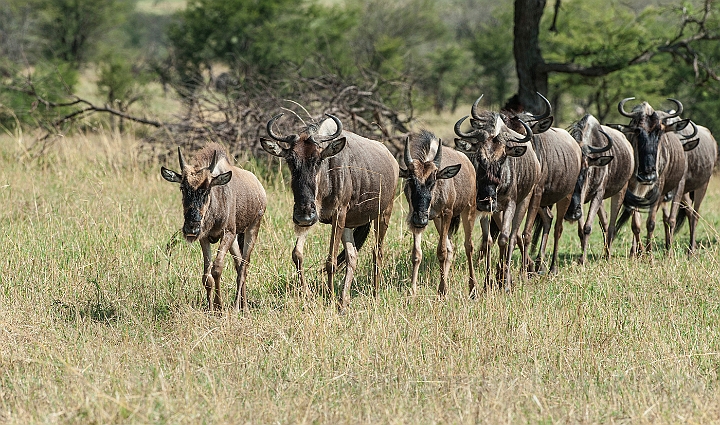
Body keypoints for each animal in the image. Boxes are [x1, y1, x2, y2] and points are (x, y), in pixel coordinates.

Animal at [160, 142, 268, 312]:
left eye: (207, 189)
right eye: (183, 188)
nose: (191, 228)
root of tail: (259, 187)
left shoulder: (228, 233)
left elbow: (216, 269)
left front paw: (220, 307)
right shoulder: (204, 237)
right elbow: (206, 276)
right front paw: (211, 308)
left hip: (253, 228)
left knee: (243, 268)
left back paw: (239, 308)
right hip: (235, 239)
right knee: (238, 264)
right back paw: (243, 305)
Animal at [400, 129, 478, 294]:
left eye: (433, 181)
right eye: (410, 180)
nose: (421, 219)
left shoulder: (447, 213)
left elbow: (441, 251)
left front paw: (442, 290)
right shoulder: (415, 216)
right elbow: (416, 254)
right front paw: (413, 290)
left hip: (469, 210)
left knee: (468, 246)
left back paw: (473, 288)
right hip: (437, 220)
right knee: (451, 249)